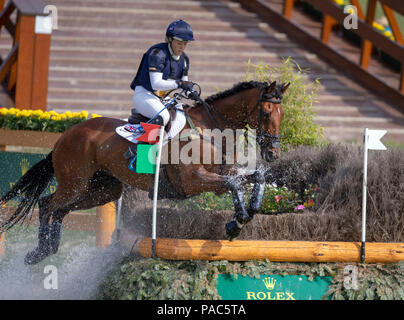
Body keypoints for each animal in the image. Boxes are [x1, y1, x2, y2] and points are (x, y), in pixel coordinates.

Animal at [0, 79, 288, 264]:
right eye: (266, 112)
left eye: (282, 114)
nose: (273, 153)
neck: (209, 130)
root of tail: (66, 135)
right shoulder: (192, 181)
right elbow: (235, 184)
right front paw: (238, 220)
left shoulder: (219, 179)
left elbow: (253, 178)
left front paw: (243, 216)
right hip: (75, 183)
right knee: (47, 204)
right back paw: (39, 252)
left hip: (103, 190)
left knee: (60, 209)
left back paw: (50, 247)